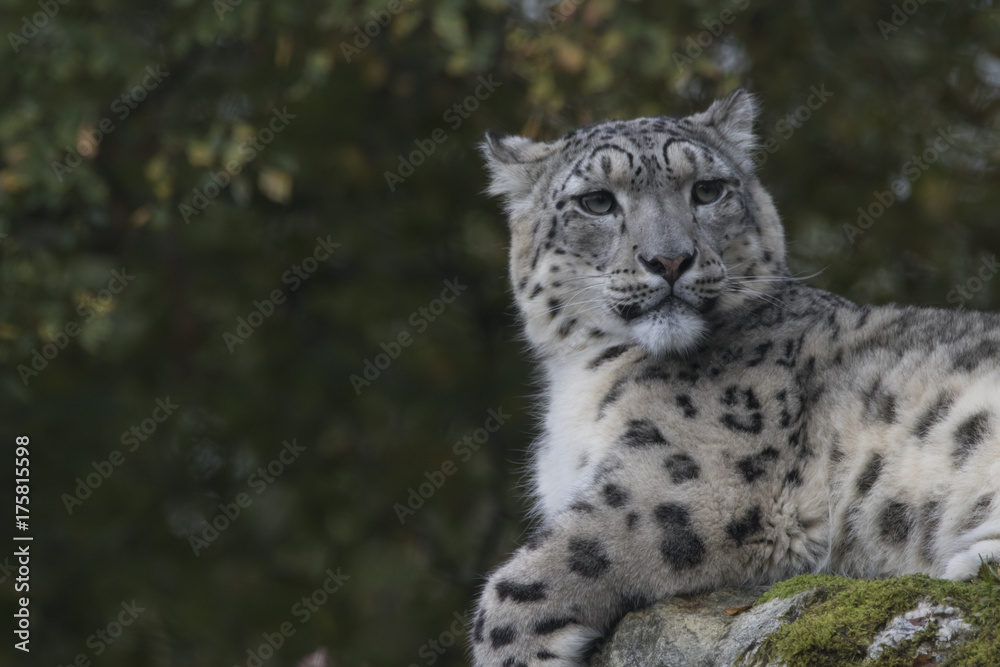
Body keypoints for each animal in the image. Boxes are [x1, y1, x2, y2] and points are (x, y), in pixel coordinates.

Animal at [470, 90, 1000, 666]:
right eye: (597, 202)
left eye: (707, 190)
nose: (670, 259)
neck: (580, 379)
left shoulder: (681, 483)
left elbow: (533, 573)